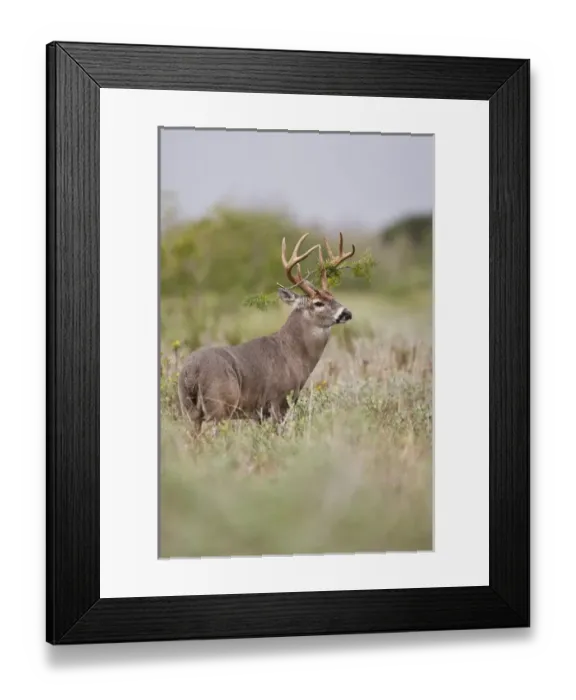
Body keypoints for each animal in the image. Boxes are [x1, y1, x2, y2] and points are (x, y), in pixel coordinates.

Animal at [177, 232, 356, 434]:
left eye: (333, 297)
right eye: (318, 303)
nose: (347, 313)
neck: (292, 353)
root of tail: (192, 371)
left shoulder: (259, 412)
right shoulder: (278, 400)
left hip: (189, 409)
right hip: (219, 406)